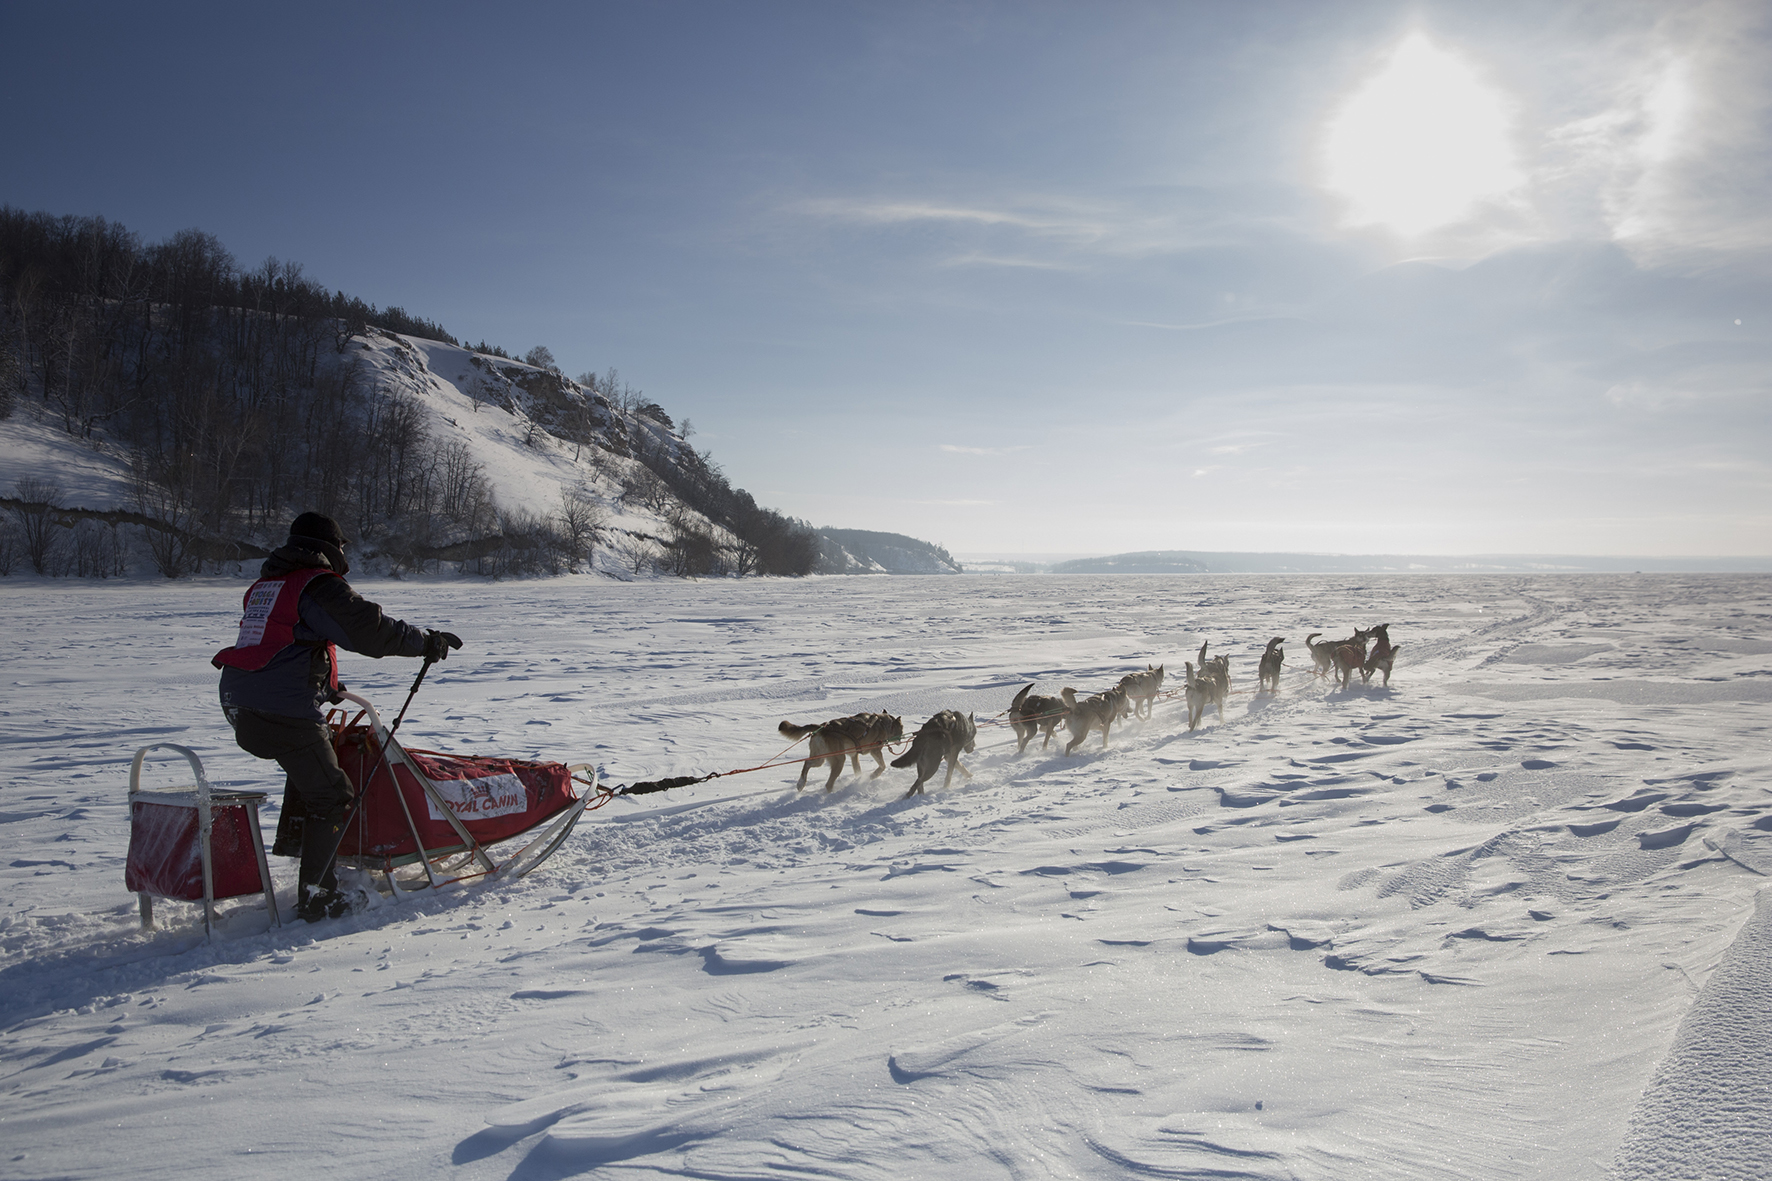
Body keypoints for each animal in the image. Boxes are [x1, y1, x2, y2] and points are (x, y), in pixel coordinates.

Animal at [779, 702, 907, 787]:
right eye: (902, 729)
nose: (901, 739)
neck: (883, 723)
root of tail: (822, 727)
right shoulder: (875, 750)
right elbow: (882, 766)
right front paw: (873, 775)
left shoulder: (854, 756)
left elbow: (858, 770)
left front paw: (859, 779)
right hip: (839, 760)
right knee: (828, 784)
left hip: (820, 758)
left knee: (807, 763)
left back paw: (801, 784)